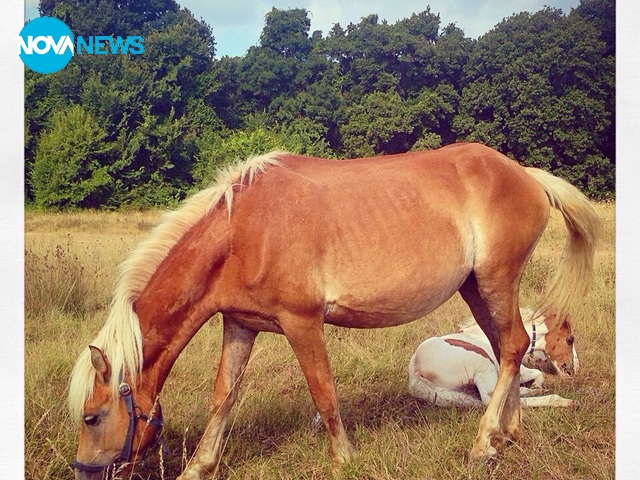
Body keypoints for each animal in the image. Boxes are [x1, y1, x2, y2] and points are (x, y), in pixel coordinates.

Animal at [408, 308, 576, 408]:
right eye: (570, 340)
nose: (571, 369)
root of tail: (416, 371)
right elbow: (538, 372)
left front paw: (535, 387)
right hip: (484, 364)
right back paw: (564, 401)